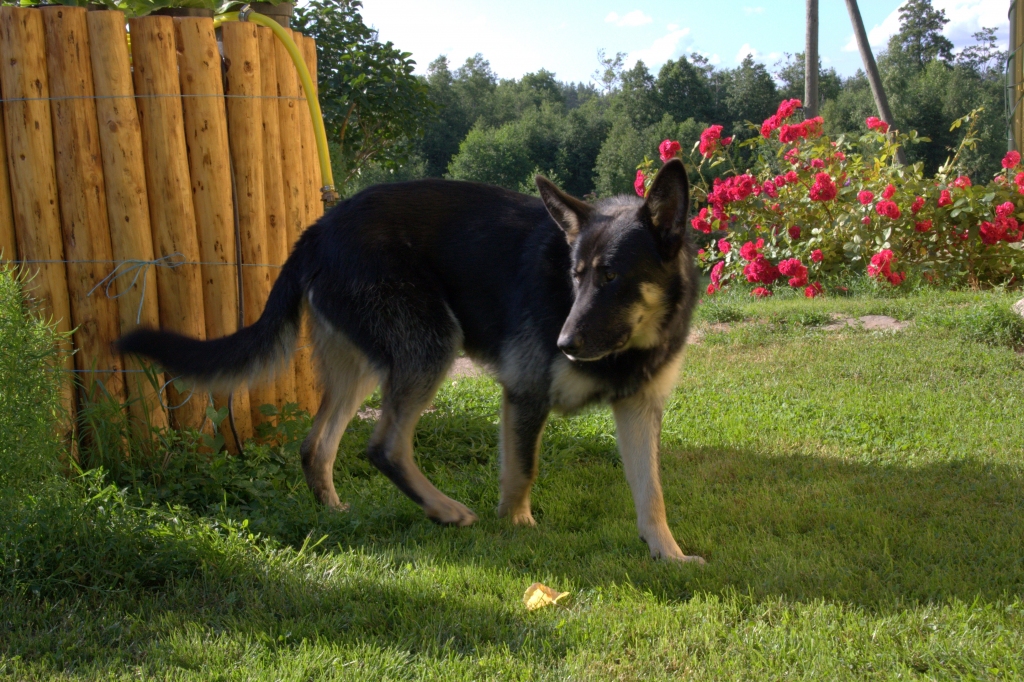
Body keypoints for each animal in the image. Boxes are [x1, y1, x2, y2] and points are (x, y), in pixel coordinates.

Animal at [116, 157, 700, 557]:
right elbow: (522, 472)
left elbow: (651, 491)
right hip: (430, 343)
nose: (564, 344)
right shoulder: (525, 394)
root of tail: (318, 231)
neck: (637, 340)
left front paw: (667, 552)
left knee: (316, 445)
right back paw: (443, 510)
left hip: (363, 367)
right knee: (384, 446)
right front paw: (517, 529)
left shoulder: (639, 409)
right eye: (575, 276)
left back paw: (334, 512)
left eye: (611, 277)